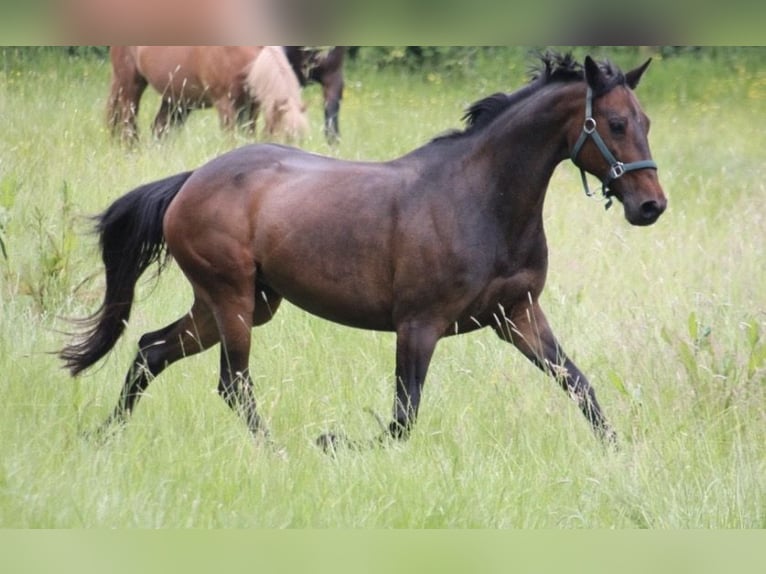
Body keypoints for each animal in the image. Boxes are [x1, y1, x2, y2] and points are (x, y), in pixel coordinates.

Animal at [107, 46, 308, 143]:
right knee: (127, 123)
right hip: (130, 85)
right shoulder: (225, 104)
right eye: (284, 138)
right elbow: (231, 139)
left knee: (160, 128)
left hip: (176, 100)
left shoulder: (252, 107)